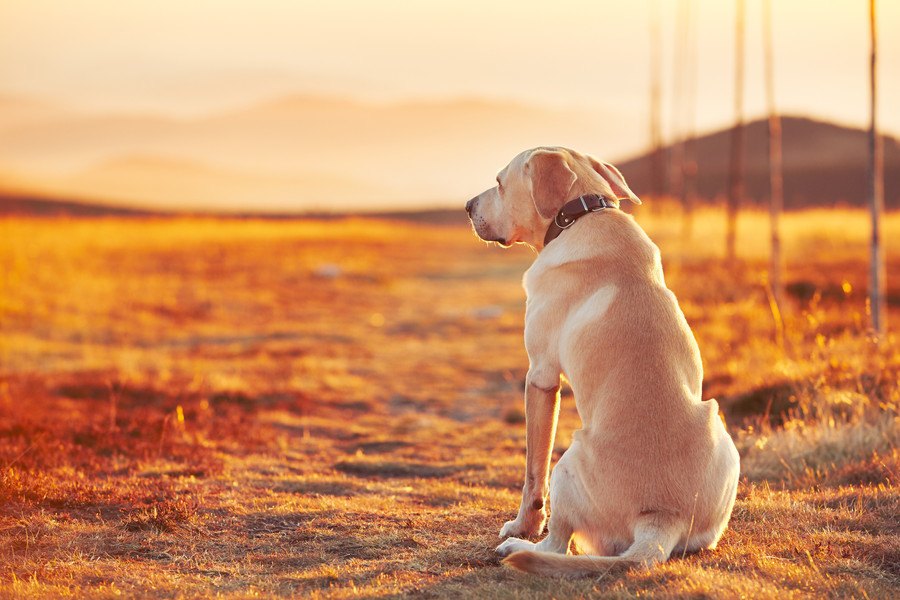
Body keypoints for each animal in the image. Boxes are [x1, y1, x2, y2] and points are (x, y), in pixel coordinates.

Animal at [464, 145, 740, 576]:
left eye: (499, 183)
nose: (466, 206)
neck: (580, 215)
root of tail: (662, 517)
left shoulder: (540, 376)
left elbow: (532, 475)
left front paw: (522, 524)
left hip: (567, 464)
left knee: (557, 543)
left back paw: (518, 546)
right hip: (725, 440)